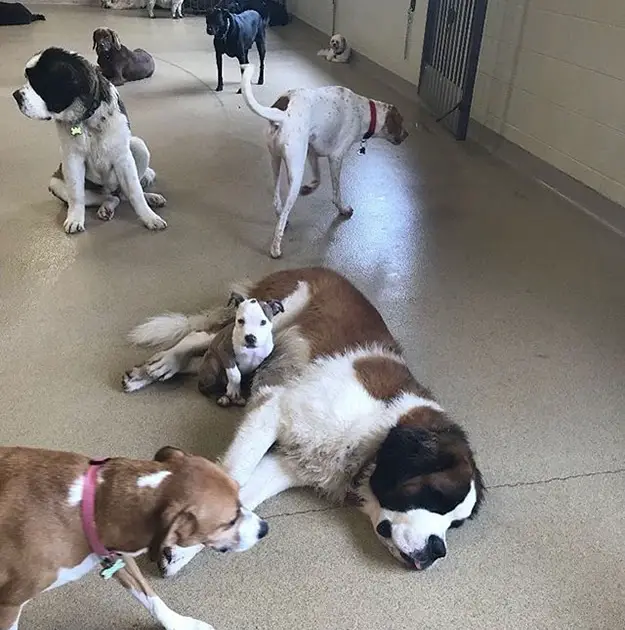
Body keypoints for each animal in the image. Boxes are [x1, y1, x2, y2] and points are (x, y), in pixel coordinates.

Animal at [0, 446, 266, 628]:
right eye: (229, 521)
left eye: (240, 493)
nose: (265, 528)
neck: (92, 505)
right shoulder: (8, 605)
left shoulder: (117, 554)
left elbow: (151, 597)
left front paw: (180, 623)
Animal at [12, 47, 168, 235]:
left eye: (38, 83)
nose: (15, 95)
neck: (88, 117)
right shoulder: (72, 159)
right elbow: (76, 195)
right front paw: (75, 219)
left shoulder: (123, 157)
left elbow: (134, 191)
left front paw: (149, 217)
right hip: (56, 182)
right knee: (111, 197)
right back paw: (106, 208)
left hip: (138, 146)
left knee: (123, 194)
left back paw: (150, 198)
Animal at [122, 266, 482, 576]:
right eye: (435, 496)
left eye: (455, 523)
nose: (438, 551)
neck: (378, 432)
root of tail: (313, 267)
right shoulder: (273, 409)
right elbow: (234, 476)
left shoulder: (287, 463)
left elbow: (245, 494)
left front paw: (182, 550)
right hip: (261, 320)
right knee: (200, 336)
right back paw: (161, 364)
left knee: (209, 358)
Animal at [239, 65, 410, 260]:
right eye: (401, 122)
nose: (407, 134)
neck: (364, 111)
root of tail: (282, 114)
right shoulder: (336, 157)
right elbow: (336, 194)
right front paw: (343, 209)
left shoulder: (312, 151)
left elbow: (318, 179)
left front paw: (309, 189)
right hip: (295, 171)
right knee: (283, 215)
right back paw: (275, 248)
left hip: (276, 161)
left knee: (276, 200)